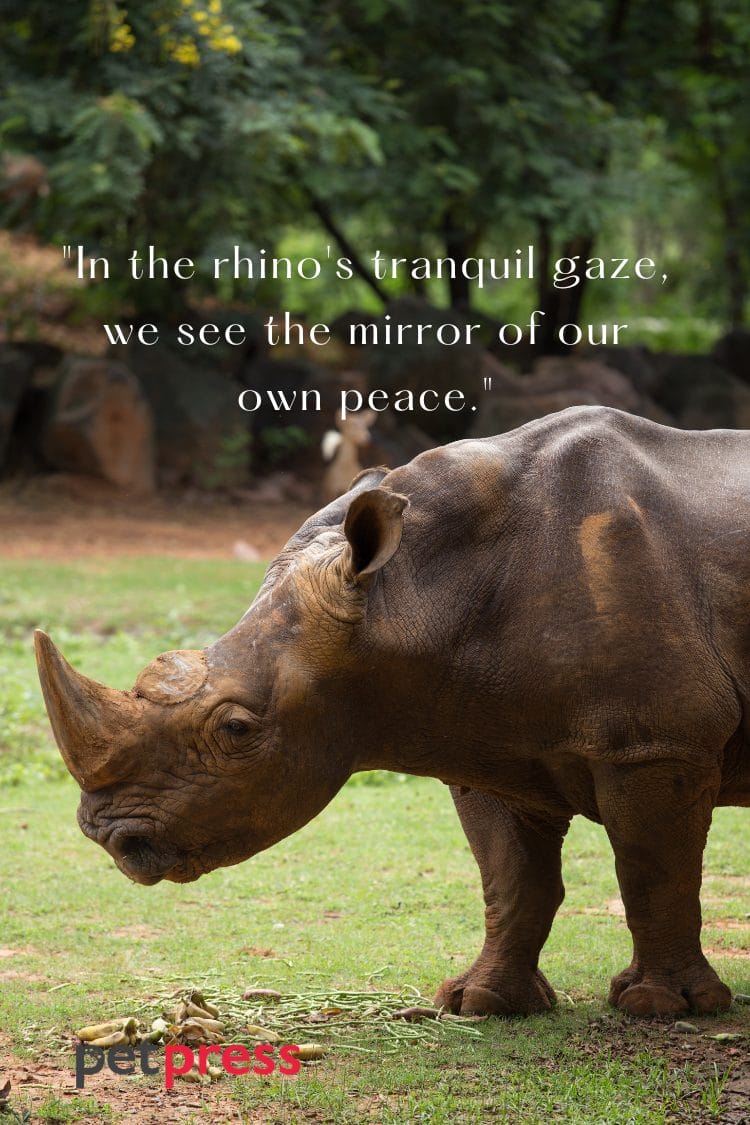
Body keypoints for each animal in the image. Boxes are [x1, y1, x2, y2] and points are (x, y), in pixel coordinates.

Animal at [35, 406, 750, 1018]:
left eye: (236, 729)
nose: (109, 836)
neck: (411, 594)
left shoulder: (657, 742)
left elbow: (653, 872)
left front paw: (661, 1009)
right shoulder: (493, 740)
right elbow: (512, 880)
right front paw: (480, 1003)